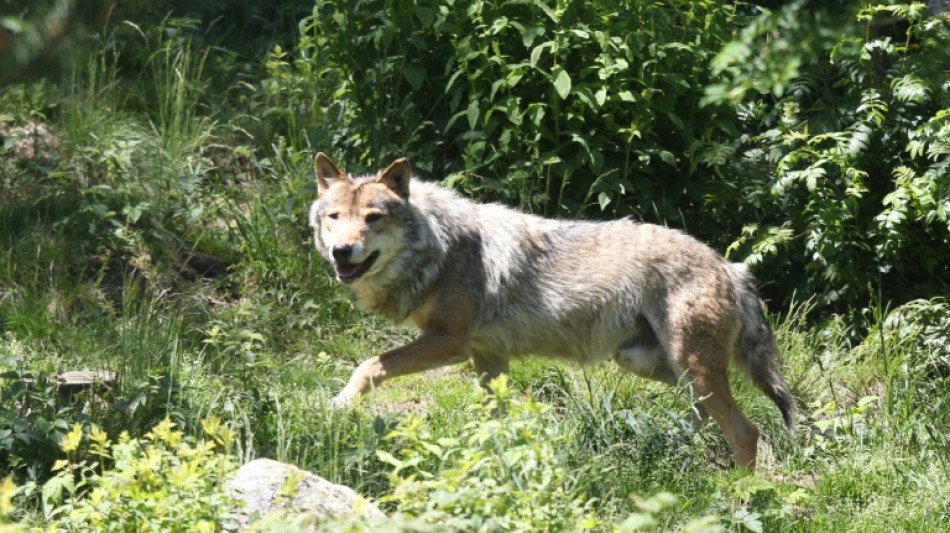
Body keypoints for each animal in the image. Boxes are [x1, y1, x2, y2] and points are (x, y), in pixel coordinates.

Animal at [308, 153, 795, 469]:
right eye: (334, 217)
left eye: (373, 218)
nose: (341, 252)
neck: (437, 247)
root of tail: (731, 267)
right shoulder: (487, 356)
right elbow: (495, 421)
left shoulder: (450, 342)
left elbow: (369, 364)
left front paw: (335, 406)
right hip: (652, 363)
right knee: (702, 414)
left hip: (688, 365)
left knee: (746, 432)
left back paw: (737, 494)